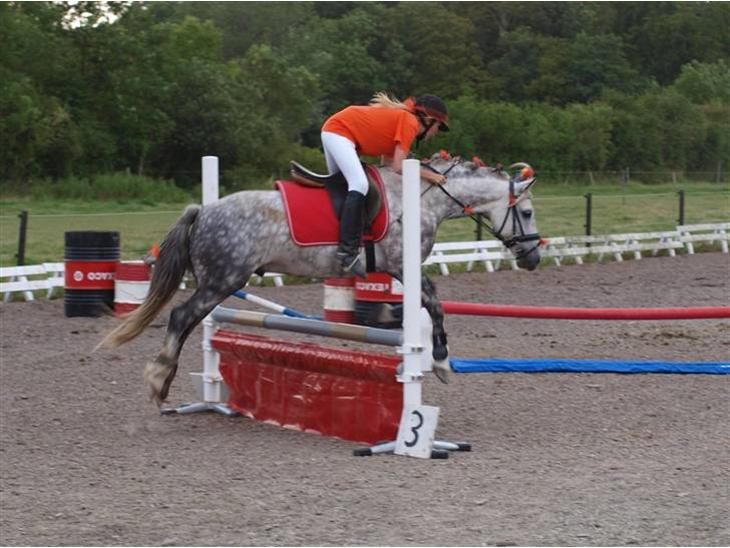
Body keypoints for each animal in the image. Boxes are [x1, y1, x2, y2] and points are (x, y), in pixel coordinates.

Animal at [100, 154, 542, 405]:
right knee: (181, 318)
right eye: (528, 212)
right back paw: (159, 380)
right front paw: (442, 362)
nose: (534, 257)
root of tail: (204, 210)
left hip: (221, 283)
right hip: (222, 281)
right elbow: (434, 303)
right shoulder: (402, 264)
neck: (422, 198)